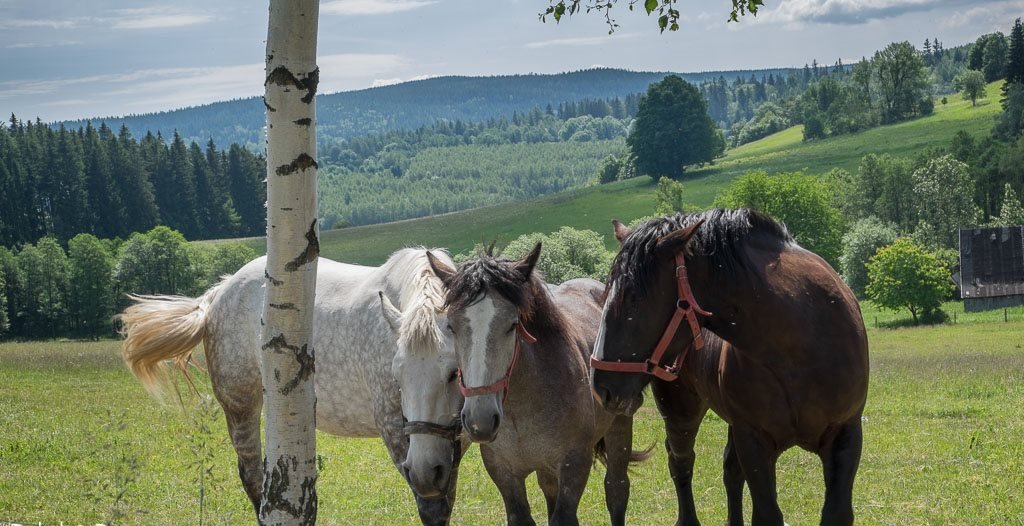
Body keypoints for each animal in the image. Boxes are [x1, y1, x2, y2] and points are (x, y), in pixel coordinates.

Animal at [120, 247, 468, 521]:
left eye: (455, 371)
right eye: (397, 376)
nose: (422, 468)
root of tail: (218, 292)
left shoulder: (446, 447)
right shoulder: (396, 430)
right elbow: (431, 507)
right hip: (240, 406)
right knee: (253, 478)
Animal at [428, 243, 651, 521]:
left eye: (513, 325)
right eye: (451, 327)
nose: (480, 421)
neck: (522, 409)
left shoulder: (574, 467)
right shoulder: (505, 476)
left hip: (619, 425)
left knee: (617, 488)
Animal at [593, 209, 872, 523]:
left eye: (632, 298)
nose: (601, 387)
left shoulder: (845, 436)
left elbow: (836, 512)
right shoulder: (752, 441)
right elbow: (767, 513)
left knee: (729, 471)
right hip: (681, 413)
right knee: (681, 462)